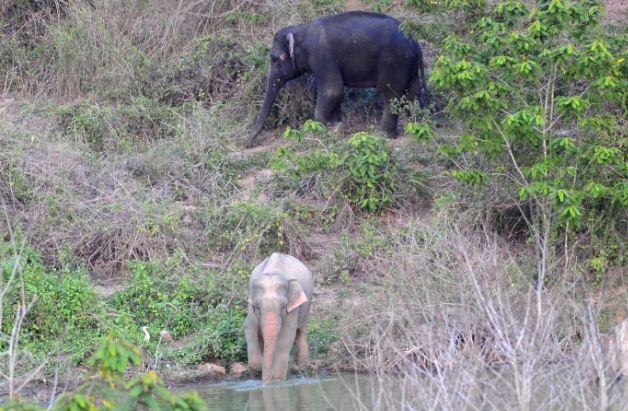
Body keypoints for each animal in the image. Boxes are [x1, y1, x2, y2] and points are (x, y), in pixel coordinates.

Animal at [245, 10, 426, 150]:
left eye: (275, 60)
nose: (248, 145)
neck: (301, 29)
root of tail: (413, 39)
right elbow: (335, 93)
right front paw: (337, 124)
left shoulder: (321, 55)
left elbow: (333, 90)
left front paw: (336, 128)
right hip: (410, 66)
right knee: (413, 93)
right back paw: (414, 128)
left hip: (394, 61)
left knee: (390, 95)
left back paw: (386, 135)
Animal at [245, 253, 314, 384]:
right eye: (257, 307)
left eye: (283, 307)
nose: (265, 384)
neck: (273, 270)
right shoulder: (250, 307)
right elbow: (249, 328)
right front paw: (259, 367)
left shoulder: (292, 308)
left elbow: (286, 336)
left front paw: (277, 379)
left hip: (307, 303)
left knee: (301, 332)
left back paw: (301, 368)